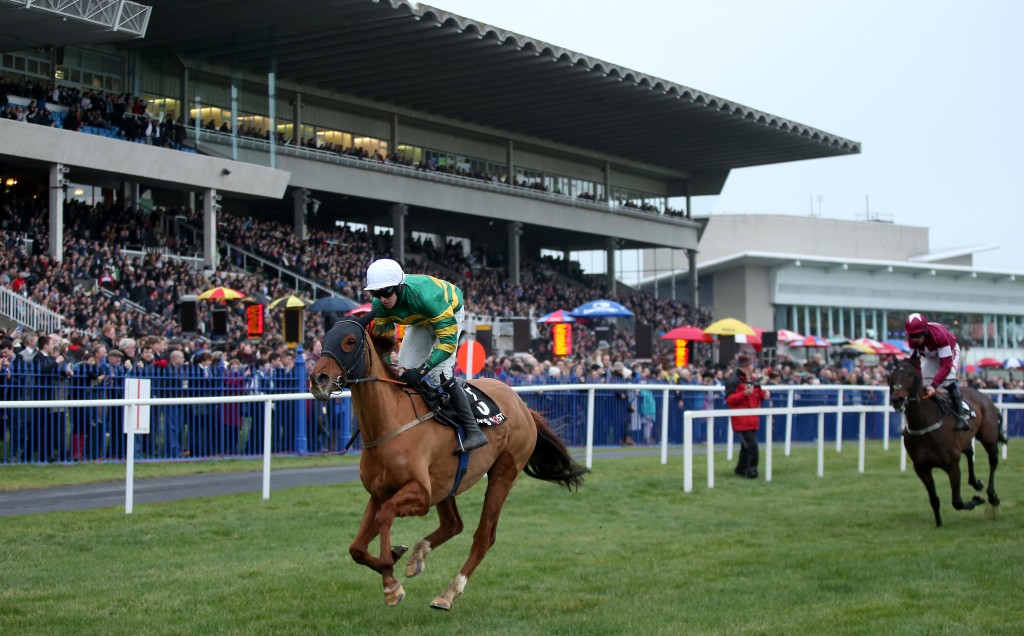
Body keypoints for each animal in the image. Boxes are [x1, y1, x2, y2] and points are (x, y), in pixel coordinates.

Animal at [307, 317, 589, 610]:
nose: (318, 379)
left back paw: (448, 593)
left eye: (349, 341)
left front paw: (391, 583)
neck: (390, 422)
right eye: (324, 339)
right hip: (447, 483)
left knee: (483, 536)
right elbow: (356, 548)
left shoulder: (420, 494)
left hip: (504, 472)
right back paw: (417, 557)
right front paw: (394, 559)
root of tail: (521, 404)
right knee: (454, 524)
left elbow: (384, 515)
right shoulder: (379, 493)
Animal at [888, 360, 1007, 524]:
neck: (924, 425)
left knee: (993, 460)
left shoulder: (952, 465)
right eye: (892, 375)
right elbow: (934, 499)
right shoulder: (921, 468)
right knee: (969, 451)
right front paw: (938, 523)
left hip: (988, 437)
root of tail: (986, 397)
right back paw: (976, 483)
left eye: (911, 374)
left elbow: (957, 502)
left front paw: (977, 500)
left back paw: (992, 496)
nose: (897, 399)